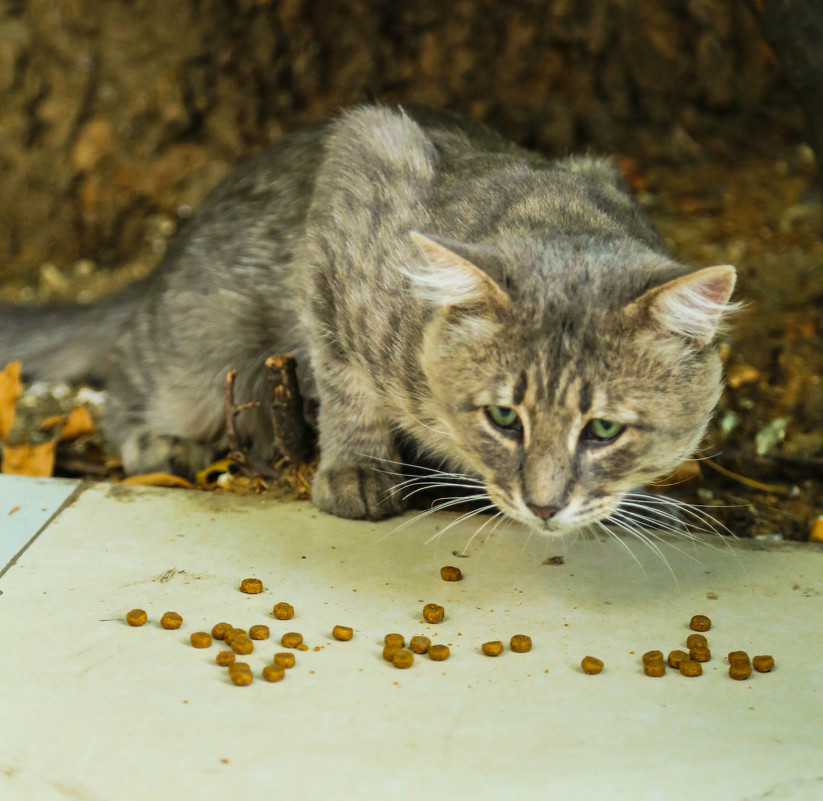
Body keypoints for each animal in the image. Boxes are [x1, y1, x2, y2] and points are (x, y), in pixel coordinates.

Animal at [1, 103, 740, 536]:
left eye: (604, 429)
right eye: (504, 417)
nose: (544, 504)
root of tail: (161, 263)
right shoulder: (354, 178)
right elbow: (347, 382)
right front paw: (356, 468)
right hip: (196, 355)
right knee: (124, 383)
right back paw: (160, 442)